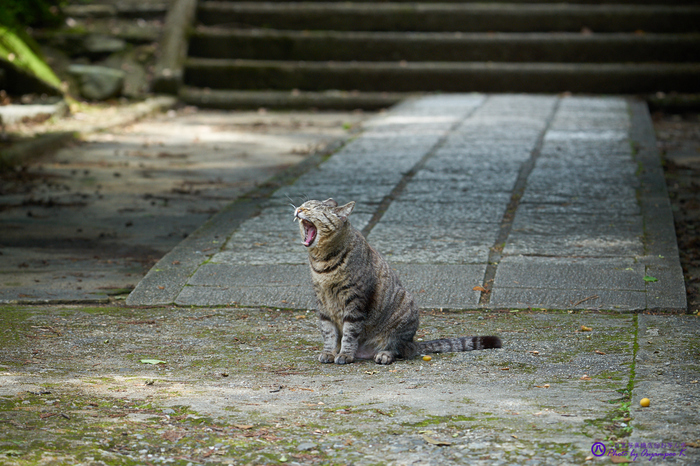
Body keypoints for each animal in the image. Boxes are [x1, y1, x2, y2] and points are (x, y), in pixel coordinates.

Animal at [292, 197, 500, 364]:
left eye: (311, 209)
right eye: (303, 205)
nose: (298, 209)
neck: (322, 264)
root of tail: (412, 342)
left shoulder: (355, 301)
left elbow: (349, 333)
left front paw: (344, 354)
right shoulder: (323, 303)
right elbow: (329, 332)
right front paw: (329, 352)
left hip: (405, 310)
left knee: (398, 349)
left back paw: (383, 355)